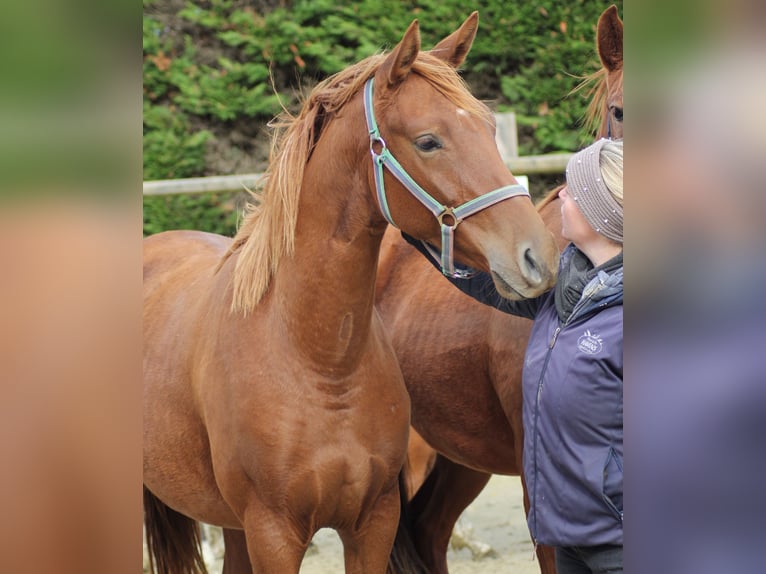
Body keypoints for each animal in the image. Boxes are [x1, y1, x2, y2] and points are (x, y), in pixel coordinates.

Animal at [142, 13, 560, 574]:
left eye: (490, 130)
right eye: (429, 141)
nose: (539, 256)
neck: (319, 359)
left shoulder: (373, 524)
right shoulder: (274, 533)